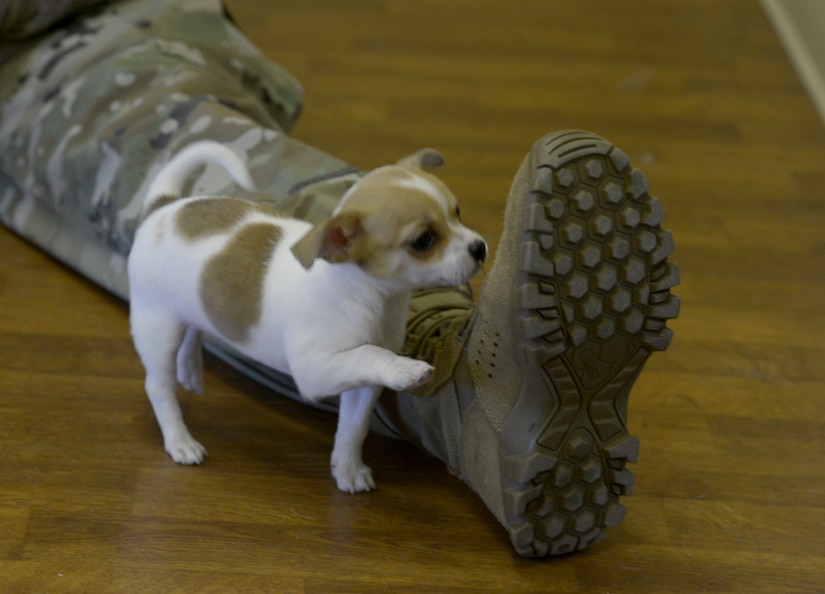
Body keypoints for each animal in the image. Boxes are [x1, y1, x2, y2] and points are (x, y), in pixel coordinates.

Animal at [126, 142, 486, 490]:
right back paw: (179, 440)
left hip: (188, 309)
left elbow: (354, 427)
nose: (480, 247)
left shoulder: (362, 387)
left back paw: (190, 372)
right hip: (157, 327)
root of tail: (162, 207)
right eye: (423, 240)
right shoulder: (316, 372)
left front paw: (347, 469)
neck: (370, 296)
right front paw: (406, 369)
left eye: (457, 213)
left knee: (193, 332)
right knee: (158, 386)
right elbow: (370, 353)